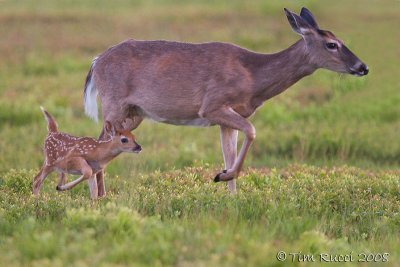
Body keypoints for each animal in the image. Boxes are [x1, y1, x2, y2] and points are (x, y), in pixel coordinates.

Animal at [83, 6, 368, 195]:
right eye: (331, 44)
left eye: (342, 40)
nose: (363, 67)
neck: (252, 75)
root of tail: (96, 61)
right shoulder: (212, 106)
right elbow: (251, 131)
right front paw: (222, 175)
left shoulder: (227, 117)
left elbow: (229, 151)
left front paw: (231, 195)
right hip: (114, 103)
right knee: (102, 140)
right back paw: (98, 197)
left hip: (134, 113)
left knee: (103, 139)